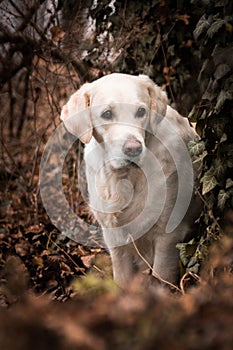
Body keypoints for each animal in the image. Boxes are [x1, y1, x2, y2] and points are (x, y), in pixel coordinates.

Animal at [60, 74, 200, 288]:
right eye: (107, 114)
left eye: (141, 111)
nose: (133, 149)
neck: (125, 177)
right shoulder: (114, 238)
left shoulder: (169, 234)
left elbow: (161, 278)